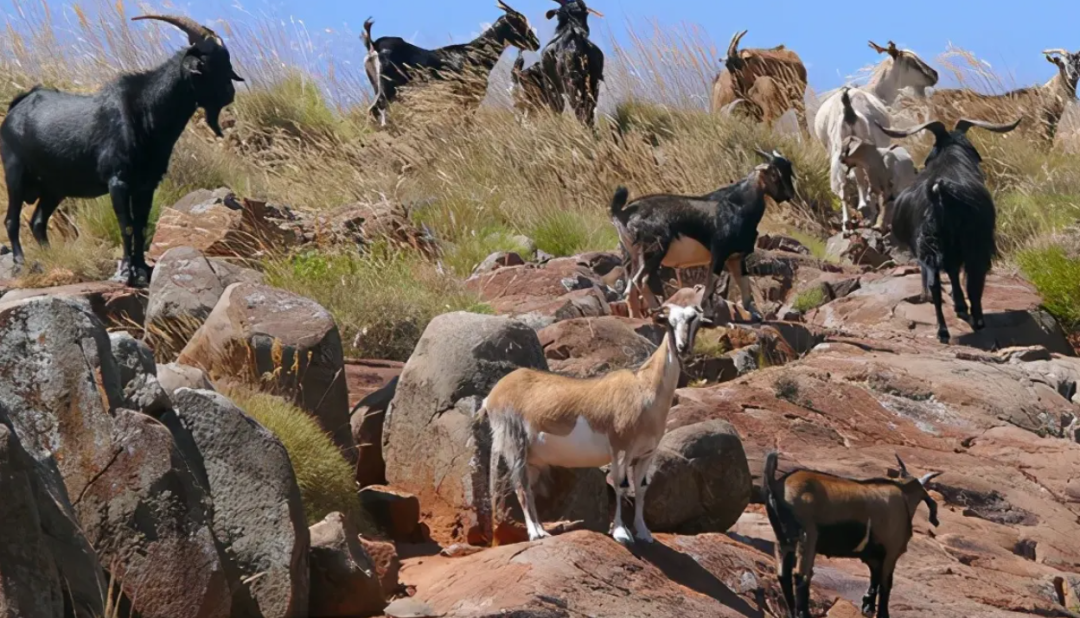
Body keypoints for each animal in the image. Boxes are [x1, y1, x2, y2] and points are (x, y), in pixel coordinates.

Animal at [1, 15, 243, 287]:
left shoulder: (146, 186)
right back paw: (20, 265)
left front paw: (142, 271)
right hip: (15, 172)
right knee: (12, 220)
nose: (229, 94)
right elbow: (126, 225)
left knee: (38, 222)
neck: (147, 111)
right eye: (207, 64)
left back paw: (50, 260)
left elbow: (140, 227)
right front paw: (126, 273)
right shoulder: (118, 181)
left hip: (54, 188)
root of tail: (17, 106)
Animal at [362, 0, 540, 126]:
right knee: (374, 110)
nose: (536, 43)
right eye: (519, 23)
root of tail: (374, 45)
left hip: (379, 87)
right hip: (387, 88)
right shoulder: (468, 97)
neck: (473, 54)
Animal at [483, 302, 708, 540]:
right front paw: (621, 532)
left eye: (693, 319)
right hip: (513, 443)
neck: (644, 389)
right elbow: (620, 485)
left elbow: (641, 488)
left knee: (529, 487)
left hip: (533, 457)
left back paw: (542, 530)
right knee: (520, 485)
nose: (683, 347)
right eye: (669, 321)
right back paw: (535, 534)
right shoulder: (620, 447)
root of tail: (492, 396)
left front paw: (644, 533)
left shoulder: (646, 453)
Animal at [876, 115, 1019, 345]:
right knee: (973, 279)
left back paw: (942, 331)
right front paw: (963, 308)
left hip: (930, 247)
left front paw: (959, 306)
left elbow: (950, 273)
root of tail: (938, 192)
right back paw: (977, 321)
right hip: (972, 244)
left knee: (934, 284)